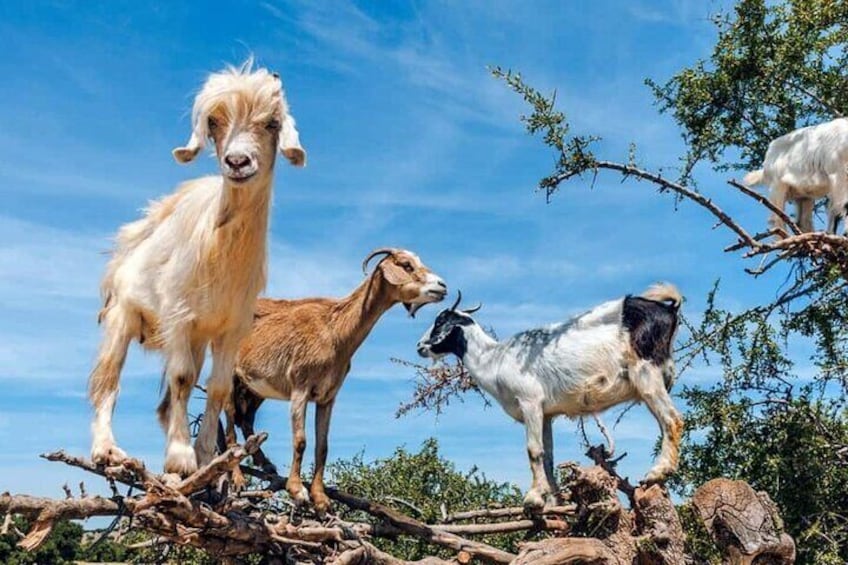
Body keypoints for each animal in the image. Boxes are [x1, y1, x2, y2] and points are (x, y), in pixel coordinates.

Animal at [89, 60, 306, 476]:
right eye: (214, 122)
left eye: (272, 122)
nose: (237, 162)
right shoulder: (178, 316)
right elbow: (182, 377)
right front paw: (180, 457)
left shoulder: (230, 328)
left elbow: (218, 388)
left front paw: (206, 457)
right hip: (123, 315)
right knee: (106, 380)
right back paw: (107, 450)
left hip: (198, 338)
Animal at [225, 247, 450, 512]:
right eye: (406, 265)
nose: (442, 286)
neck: (334, 330)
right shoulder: (300, 387)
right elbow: (300, 440)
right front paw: (297, 491)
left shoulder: (328, 396)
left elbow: (322, 446)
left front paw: (321, 499)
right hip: (229, 376)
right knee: (229, 424)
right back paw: (238, 479)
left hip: (255, 388)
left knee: (245, 420)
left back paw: (266, 464)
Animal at [414, 284, 684, 508]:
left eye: (440, 321)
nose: (419, 346)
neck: (494, 358)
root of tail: (668, 309)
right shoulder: (546, 413)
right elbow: (547, 456)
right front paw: (553, 500)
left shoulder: (529, 401)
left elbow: (533, 450)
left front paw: (533, 498)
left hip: (646, 373)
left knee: (672, 419)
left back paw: (657, 472)